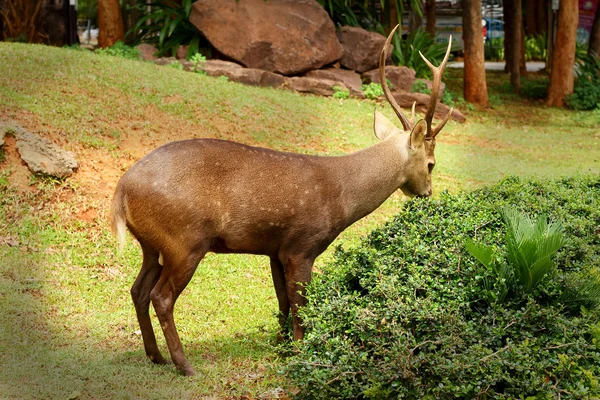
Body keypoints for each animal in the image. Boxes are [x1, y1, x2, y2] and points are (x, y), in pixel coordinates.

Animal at [110, 26, 452, 376]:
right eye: (431, 163)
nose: (427, 192)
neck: (342, 195)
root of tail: (122, 190)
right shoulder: (302, 245)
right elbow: (300, 303)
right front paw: (300, 352)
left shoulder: (276, 248)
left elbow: (282, 301)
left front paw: (280, 345)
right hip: (184, 239)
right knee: (161, 296)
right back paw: (185, 365)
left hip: (152, 244)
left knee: (138, 290)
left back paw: (156, 356)